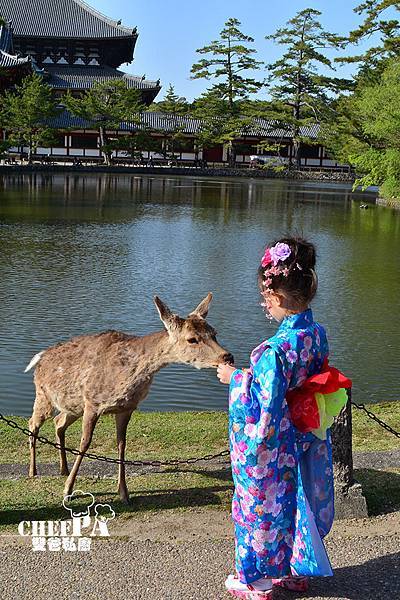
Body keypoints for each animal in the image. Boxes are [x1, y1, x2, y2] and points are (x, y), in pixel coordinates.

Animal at [25, 294, 233, 502]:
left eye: (214, 332)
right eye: (192, 339)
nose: (227, 356)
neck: (128, 377)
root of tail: (39, 358)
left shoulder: (126, 408)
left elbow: (121, 445)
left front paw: (124, 493)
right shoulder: (92, 402)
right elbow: (85, 443)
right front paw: (67, 491)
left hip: (73, 405)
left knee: (58, 422)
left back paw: (63, 469)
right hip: (43, 395)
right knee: (32, 423)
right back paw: (33, 471)